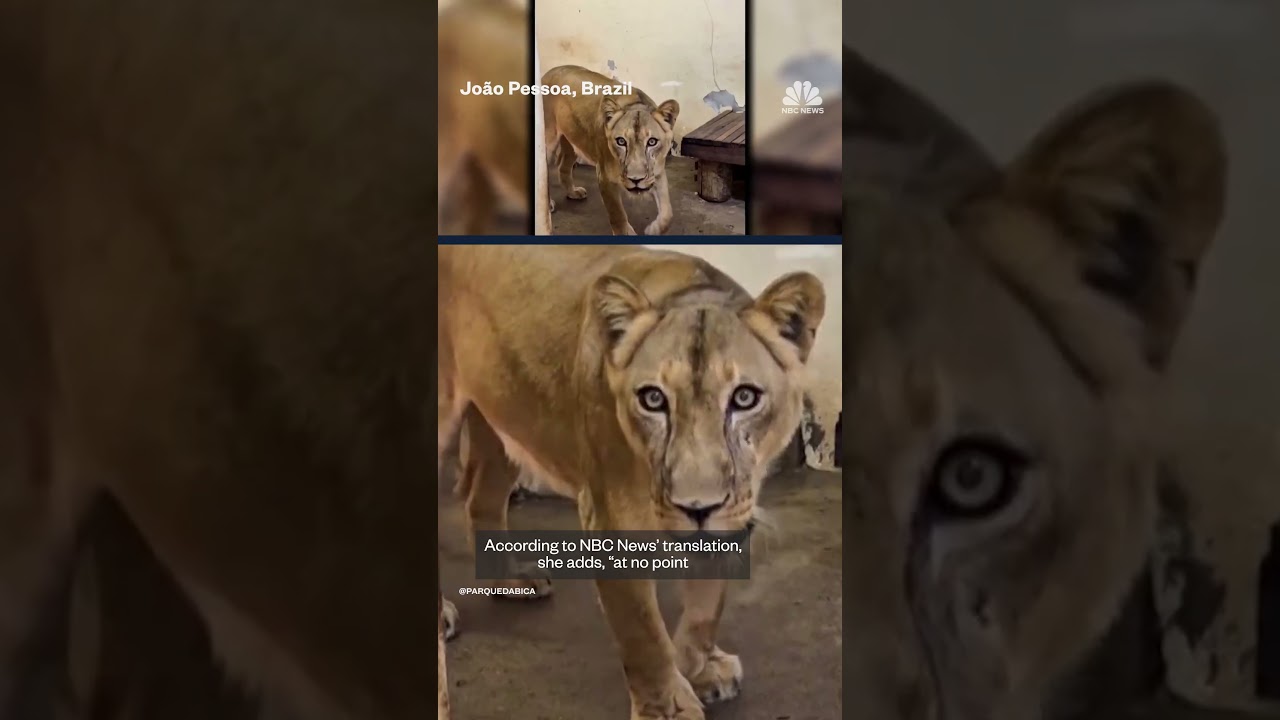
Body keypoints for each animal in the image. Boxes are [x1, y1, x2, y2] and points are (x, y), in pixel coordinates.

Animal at [438, 245, 826, 718]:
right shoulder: (611, 518)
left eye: (745, 397)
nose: (698, 507)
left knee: (481, 500)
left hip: (506, 412)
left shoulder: (733, 514)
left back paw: (508, 582)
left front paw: (699, 667)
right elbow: (643, 632)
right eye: (653, 399)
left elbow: (707, 604)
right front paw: (669, 706)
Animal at [541, 65, 681, 236]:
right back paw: (548, 205)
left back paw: (573, 192)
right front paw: (625, 232)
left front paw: (654, 229)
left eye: (652, 142)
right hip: (548, 143)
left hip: (573, 141)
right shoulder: (604, 176)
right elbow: (617, 212)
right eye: (621, 141)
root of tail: (550, 72)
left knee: (563, 167)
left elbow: (668, 212)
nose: (636, 180)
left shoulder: (658, 173)